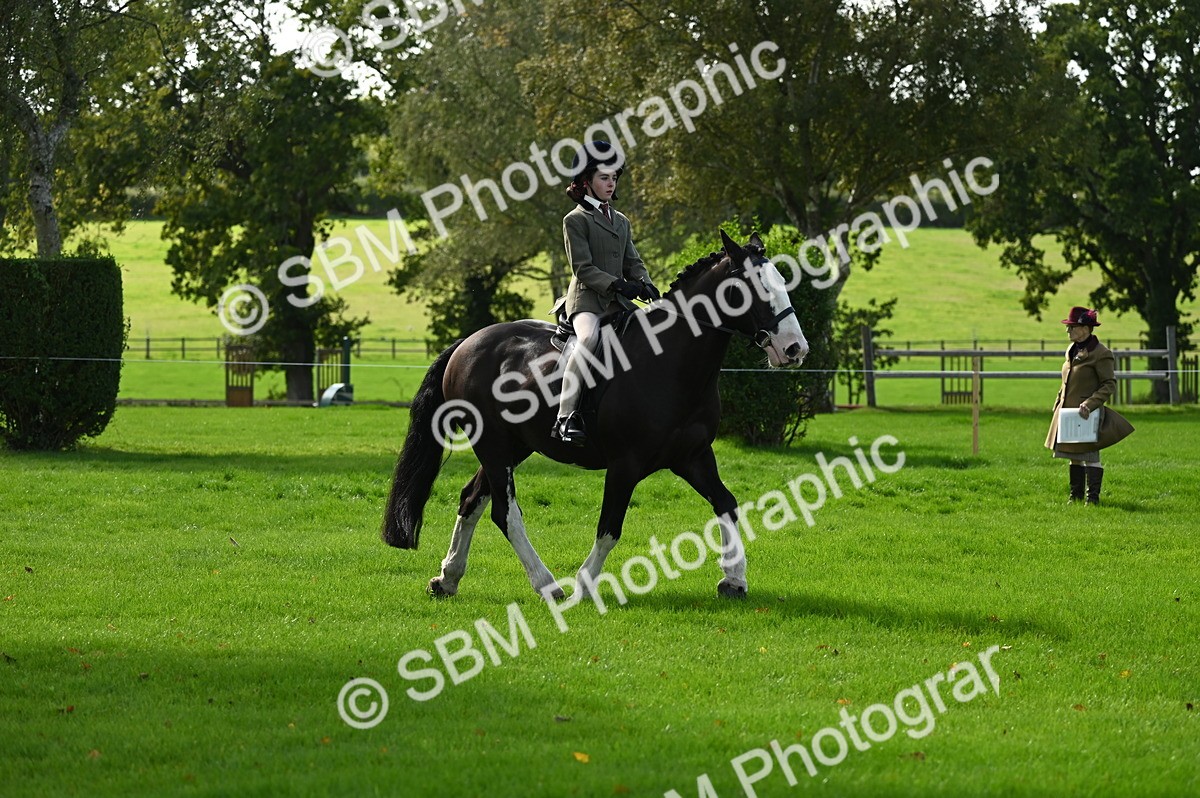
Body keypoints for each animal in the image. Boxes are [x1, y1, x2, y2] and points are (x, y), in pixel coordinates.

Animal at [381, 230, 809, 600]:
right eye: (757, 287)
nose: (795, 349)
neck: (669, 361)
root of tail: (467, 344)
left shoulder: (693, 457)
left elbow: (727, 504)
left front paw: (734, 580)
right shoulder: (625, 465)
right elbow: (610, 528)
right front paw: (585, 586)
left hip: (512, 447)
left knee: (472, 498)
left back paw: (448, 578)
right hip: (493, 445)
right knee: (504, 512)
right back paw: (548, 586)